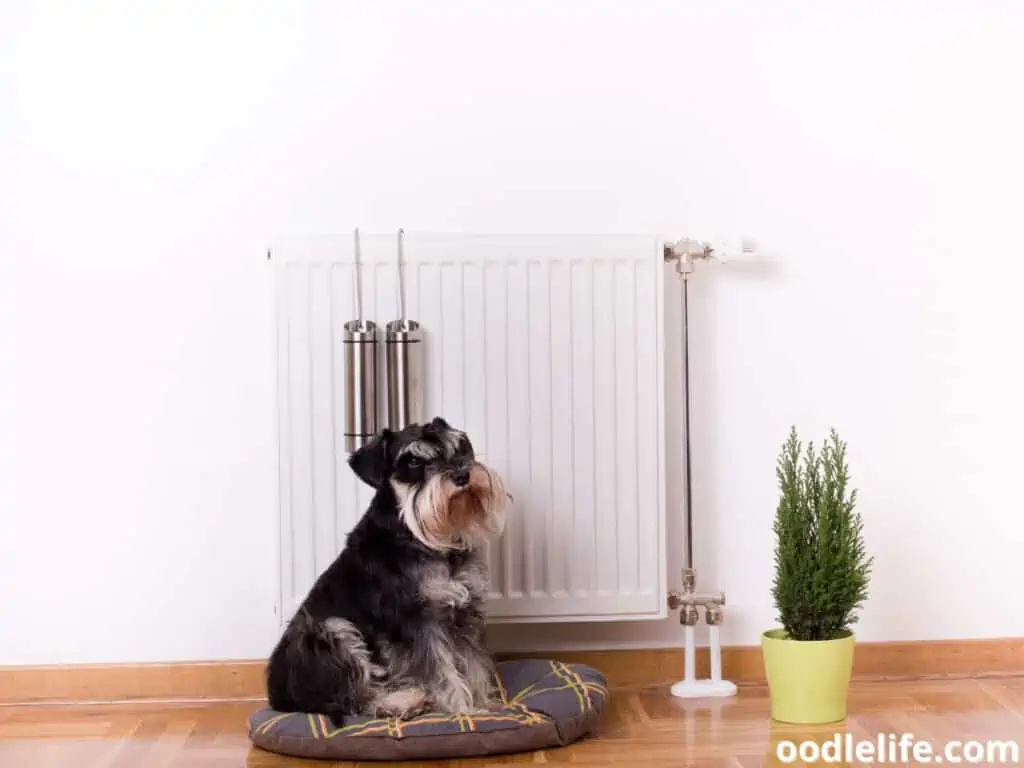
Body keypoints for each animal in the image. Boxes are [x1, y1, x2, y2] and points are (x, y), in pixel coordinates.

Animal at [262, 415, 505, 720]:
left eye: (459, 447)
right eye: (413, 461)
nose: (462, 476)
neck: (418, 536)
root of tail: (277, 697)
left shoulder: (465, 611)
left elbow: (474, 663)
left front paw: (485, 703)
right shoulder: (418, 621)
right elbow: (441, 670)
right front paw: (465, 711)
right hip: (329, 631)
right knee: (354, 698)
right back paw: (402, 702)